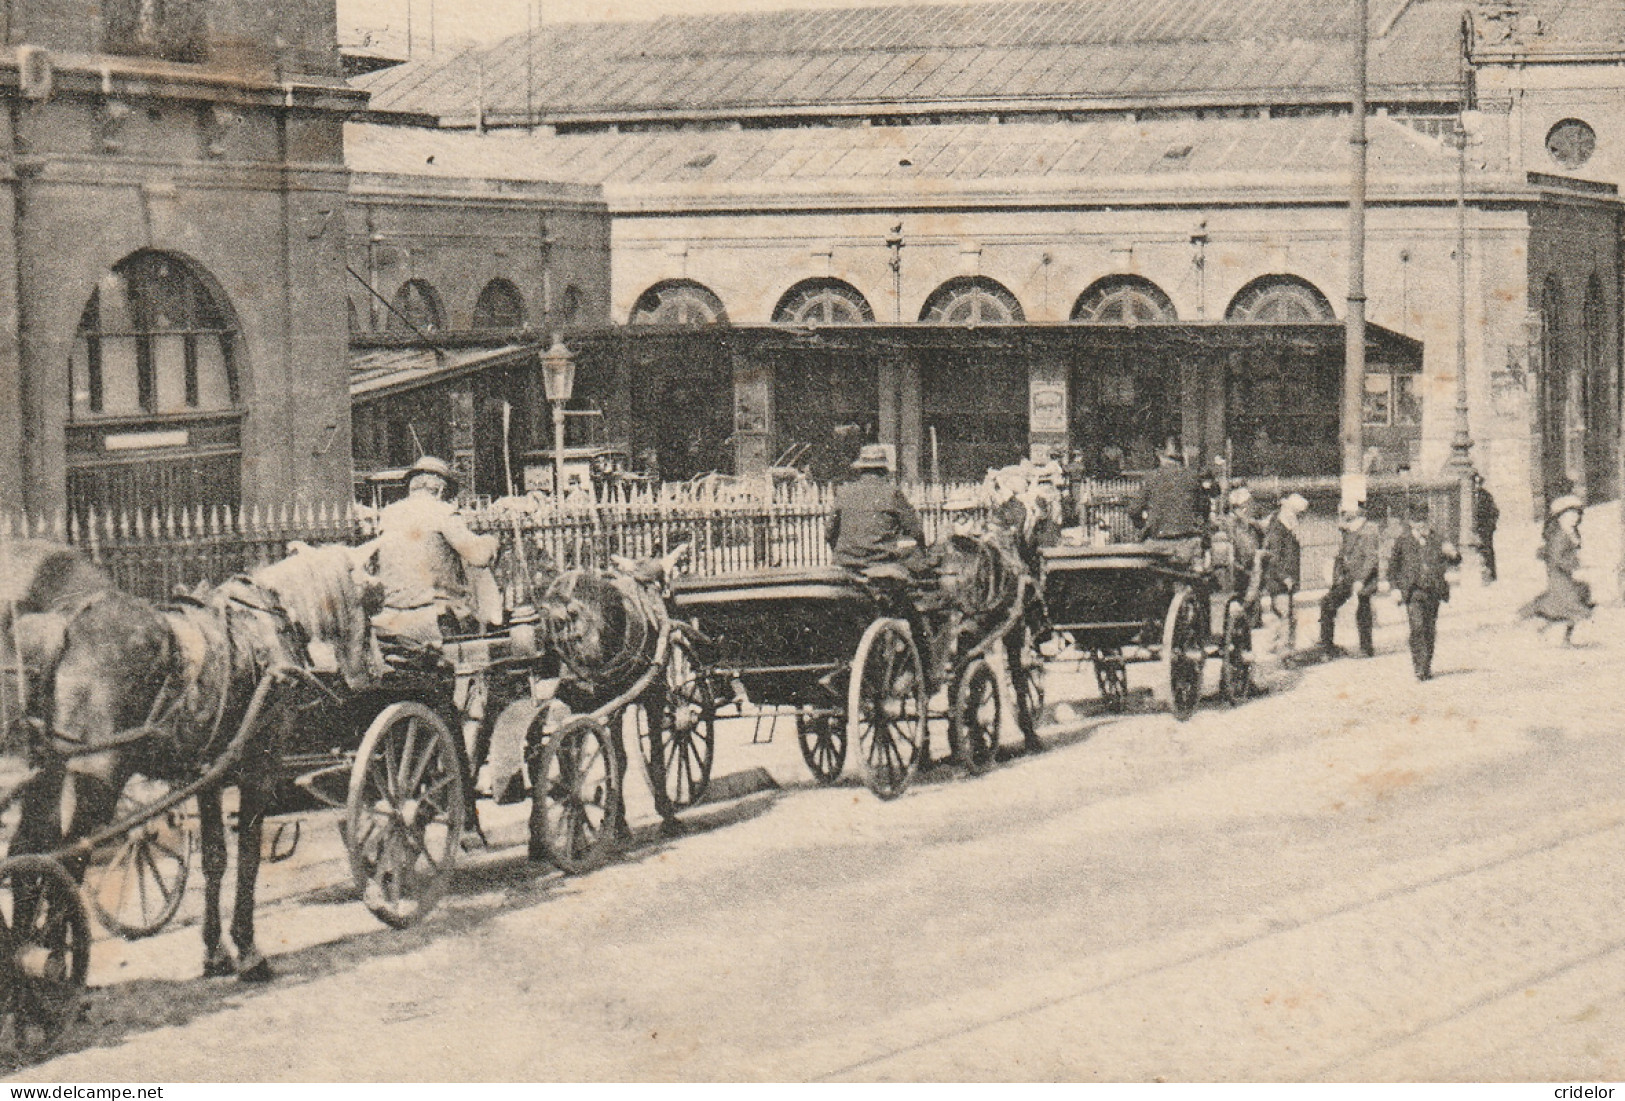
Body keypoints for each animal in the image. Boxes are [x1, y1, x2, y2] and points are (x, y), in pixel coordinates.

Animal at [8, 542, 380, 980]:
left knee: (27, 846)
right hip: (98, 774)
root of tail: (66, 625)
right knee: (69, 855)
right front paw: (248, 951)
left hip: (46, 772)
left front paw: (216, 953)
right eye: (373, 599)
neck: (266, 623)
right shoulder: (258, 768)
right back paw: (55, 959)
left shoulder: (208, 774)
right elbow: (248, 857)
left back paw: (23, 949)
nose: (371, 673)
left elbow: (215, 858)